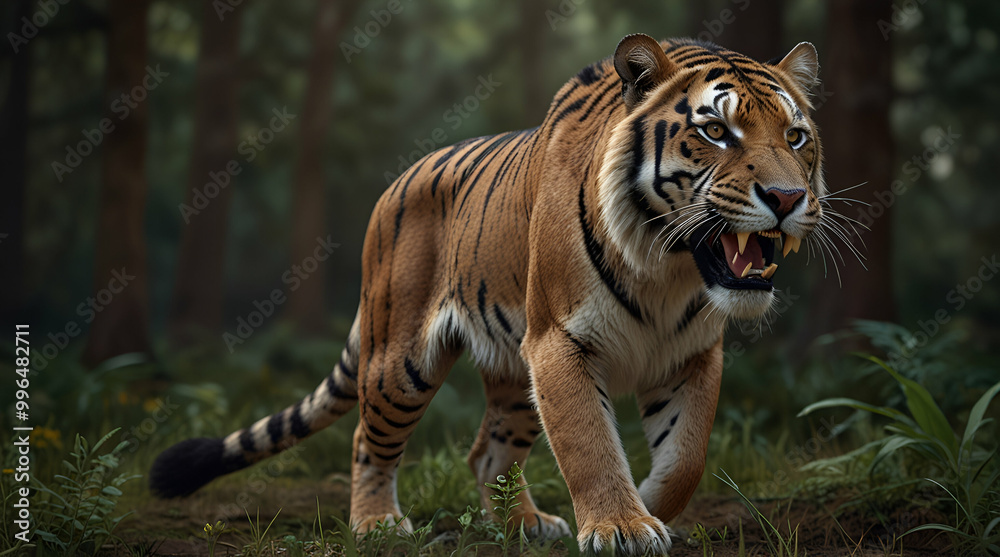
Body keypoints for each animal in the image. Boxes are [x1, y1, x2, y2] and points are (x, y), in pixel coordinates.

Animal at [150, 34, 826, 555]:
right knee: (368, 439)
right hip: (401, 363)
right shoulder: (561, 343)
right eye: (715, 130)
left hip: (514, 373)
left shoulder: (690, 356)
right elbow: (589, 442)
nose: (788, 198)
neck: (667, 267)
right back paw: (378, 524)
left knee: (487, 454)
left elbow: (685, 456)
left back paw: (524, 525)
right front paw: (624, 527)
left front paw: (652, 510)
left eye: (795, 137)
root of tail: (394, 183)